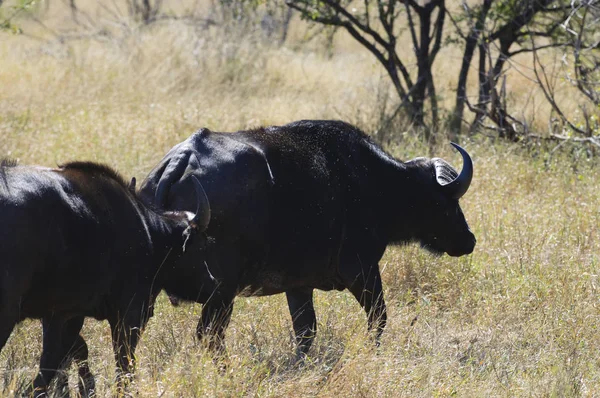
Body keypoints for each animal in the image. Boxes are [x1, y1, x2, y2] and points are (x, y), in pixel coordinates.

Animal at [0, 160, 213, 396]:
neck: (150, 234)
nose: (212, 282)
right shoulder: (128, 314)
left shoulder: (61, 314)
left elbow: (59, 357)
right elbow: (124, 364)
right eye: (202, 245)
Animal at [138, 119, 476, 360]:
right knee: (209, 336)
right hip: (221, 293)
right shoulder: (362, 269)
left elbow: (305, 331)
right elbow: (378, 318)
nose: (469, 240)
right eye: (448, 204)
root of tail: (180, 161)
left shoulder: (298, 285)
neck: (377, 182)